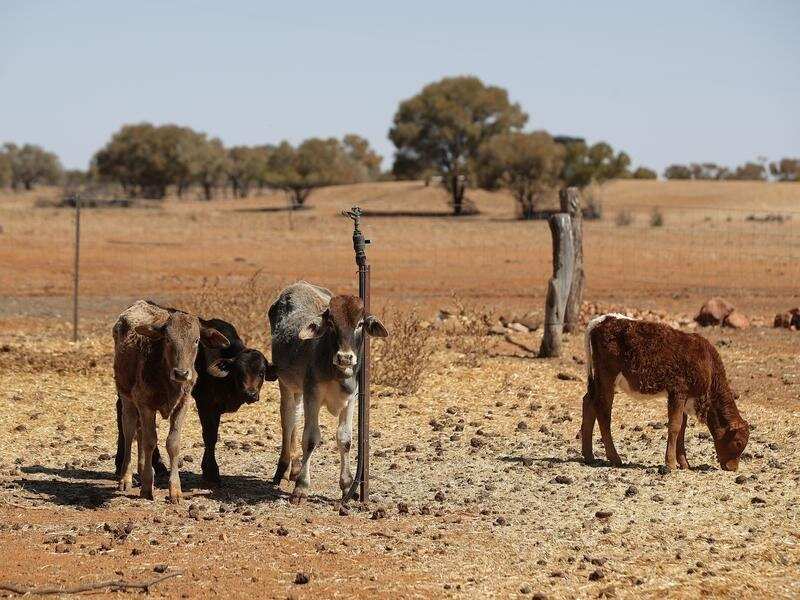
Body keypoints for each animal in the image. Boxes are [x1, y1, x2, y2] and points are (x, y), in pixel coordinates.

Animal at [113, 300, 229, 502]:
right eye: (168, 339)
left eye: (196, 340)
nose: (181, 373)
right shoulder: (145, 405)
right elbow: (151, 441)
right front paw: (147, 487)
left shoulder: (183, 404)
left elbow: (172, 443)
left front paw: (174, 489)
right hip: (126, 397)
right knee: (130, 433)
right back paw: (126, 477)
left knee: (139, 432)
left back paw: (141, 468)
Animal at [114, 314, 277, 486]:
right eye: (239, 372)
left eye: (261, 373)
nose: (251, 394)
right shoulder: (205, 404)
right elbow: (210, 436)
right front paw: (211, 472)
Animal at [268, 281, 388, 503]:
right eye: (331, 323)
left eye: (360, 323)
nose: (345, 357)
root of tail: (298, 285)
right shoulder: (312, 396)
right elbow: (311, 438)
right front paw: (301, 487)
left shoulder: (351, 399)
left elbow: (345, 439)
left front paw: (347, 485)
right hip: (286, 384)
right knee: (288, 421)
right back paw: (283, 468)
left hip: (299, 390)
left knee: (295, 417)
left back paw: (295, 468)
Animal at [582, 313, 749, 471]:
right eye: (738, 443)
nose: (733, 468)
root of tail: (602, 320)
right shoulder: (678, 391)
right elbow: (675, 426)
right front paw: (670, 463)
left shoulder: (686, 397)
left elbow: (682, 428)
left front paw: (684, 463)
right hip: (607, 377)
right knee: (603, 410)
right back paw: (614, 457)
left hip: (598, 380)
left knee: (588, 401)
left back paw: (589, 456)